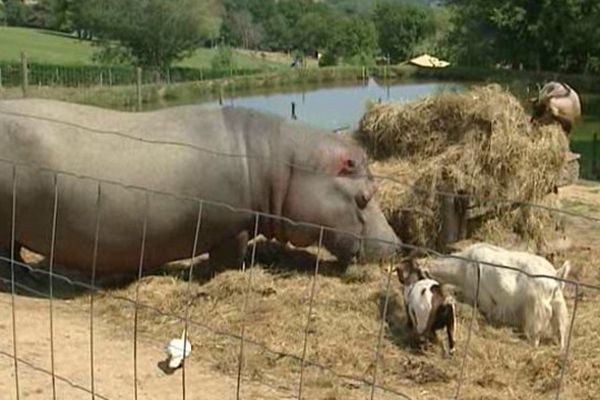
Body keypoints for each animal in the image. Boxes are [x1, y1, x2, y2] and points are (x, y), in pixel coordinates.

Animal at [412, 241, 572, 350]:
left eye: (420, 274)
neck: (462, 267)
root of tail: (556, 276)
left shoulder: (482, 297)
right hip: (558, 308)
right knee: (561, 331)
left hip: (536, 311)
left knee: (536, 335)